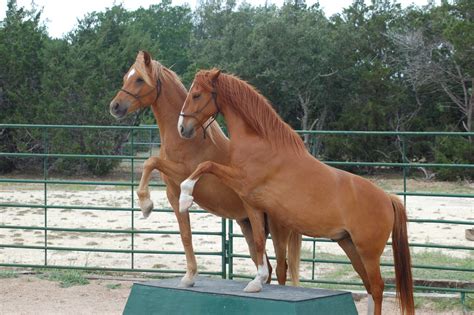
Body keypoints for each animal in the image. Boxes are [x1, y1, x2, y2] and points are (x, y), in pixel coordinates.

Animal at [178, 69, 414, 315]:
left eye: (196, 95)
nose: (182, 128)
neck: (261, 142)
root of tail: (388, 198)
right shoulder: (252, 204)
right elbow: (260, 242)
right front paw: (257, 281)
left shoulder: (241, 181)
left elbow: (206, 165)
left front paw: (185, 198)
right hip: (349, 245)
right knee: (369, 285)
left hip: (368, 252)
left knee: (377, 288)